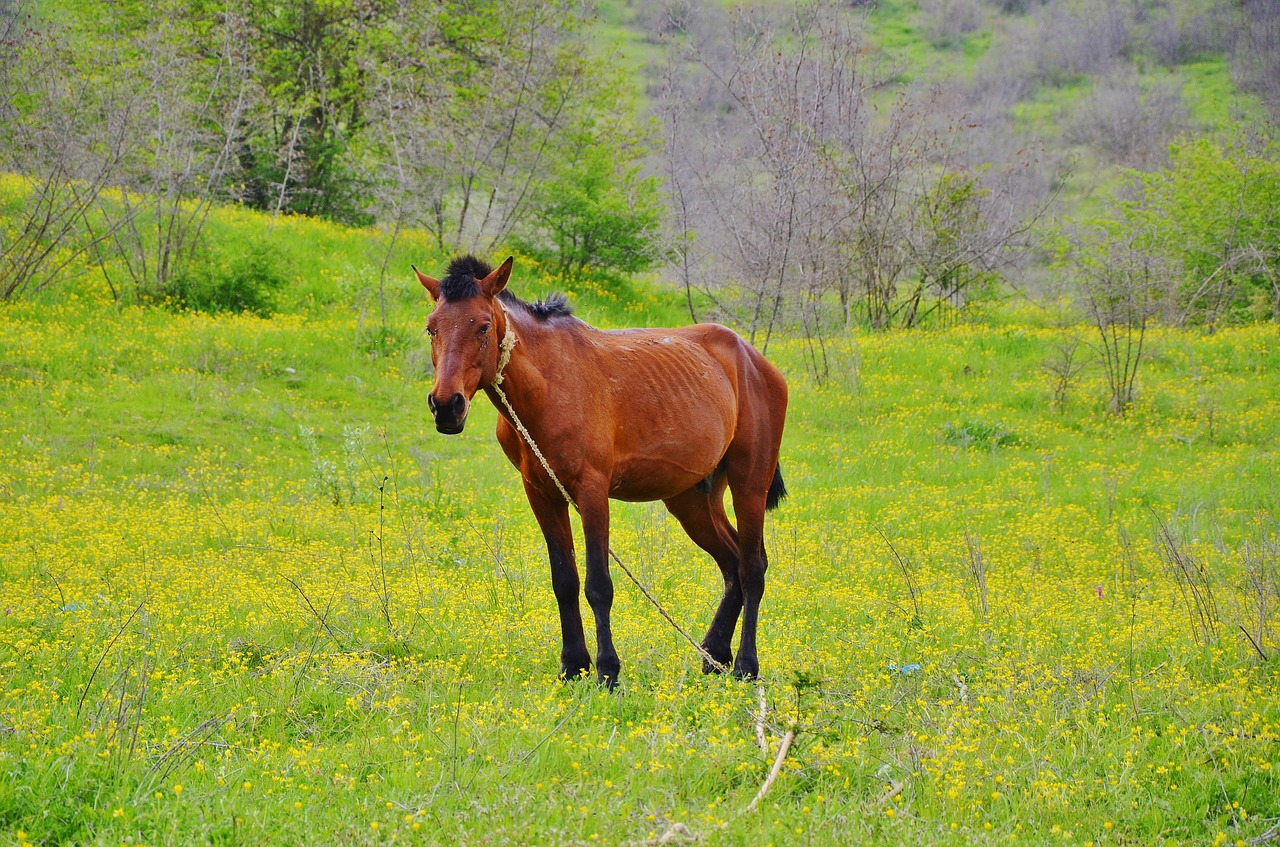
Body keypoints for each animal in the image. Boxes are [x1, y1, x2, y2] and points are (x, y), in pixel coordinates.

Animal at [414, 255, 783, 685]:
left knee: (752, 567)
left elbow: (598, 586)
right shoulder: (542, 494)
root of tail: (754, 360)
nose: (446, 405)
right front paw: (573, 665)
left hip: (749, 484)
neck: (550, 385)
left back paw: (745, 665)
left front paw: (608, 671)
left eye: (483, 326)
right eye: (431, 327)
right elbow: (565, 581)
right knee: (731, 564)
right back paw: (713, 656)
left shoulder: (591, 493)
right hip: (692, 499)